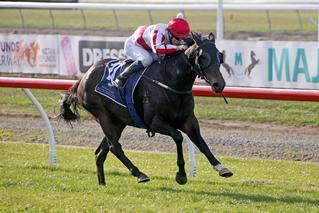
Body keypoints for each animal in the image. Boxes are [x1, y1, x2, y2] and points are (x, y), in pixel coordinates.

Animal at [59, 32, 232, 186]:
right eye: (202, 56)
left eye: (219, 56)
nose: (219, 84)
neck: (171, 81)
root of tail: (83, 77)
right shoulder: (154, 121)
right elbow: (178, 137)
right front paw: (181, 175)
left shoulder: (188, 120)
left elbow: (201, 142)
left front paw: (221, 167)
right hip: (103, 115)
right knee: (114, 147)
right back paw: (140, 174)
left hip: (118, 121)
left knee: (101, 152)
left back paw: (102, 184)